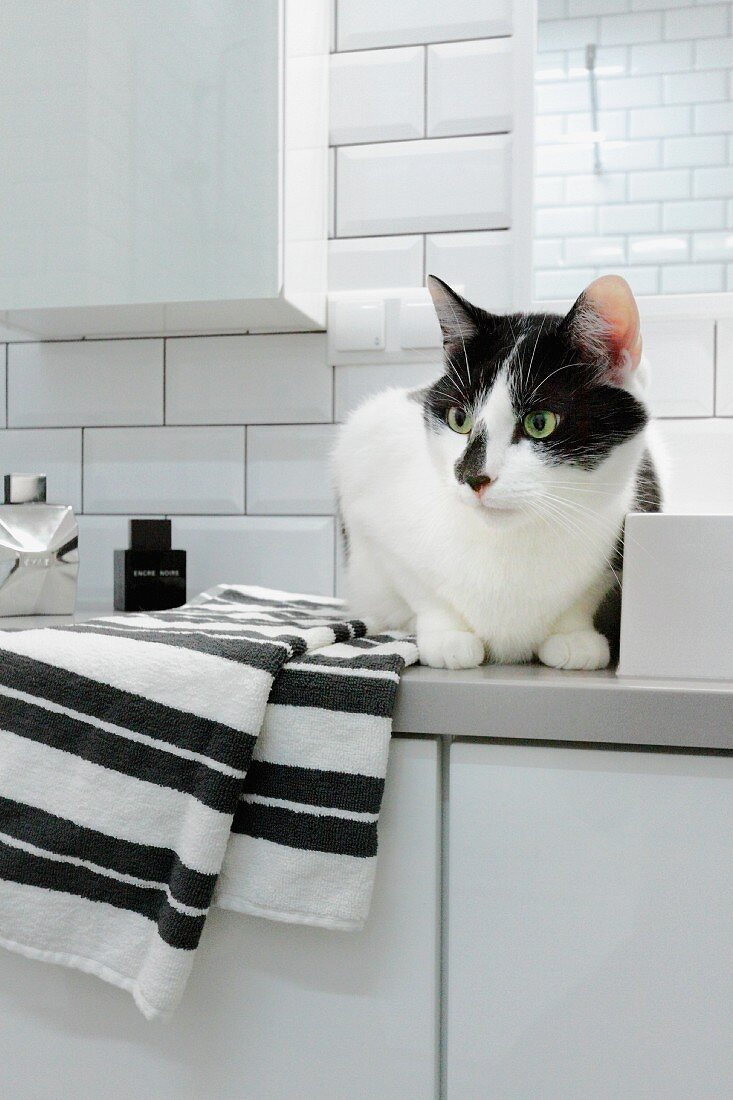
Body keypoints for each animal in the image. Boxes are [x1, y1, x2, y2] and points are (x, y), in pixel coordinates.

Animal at [334, 275, 660, 668]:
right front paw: (447, 635)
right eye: (459, 419)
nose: (472, 476)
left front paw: (572, 636)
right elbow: (417, 585)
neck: (509, 540)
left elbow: (586, 594)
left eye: (539, 422)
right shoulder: (368, 492)